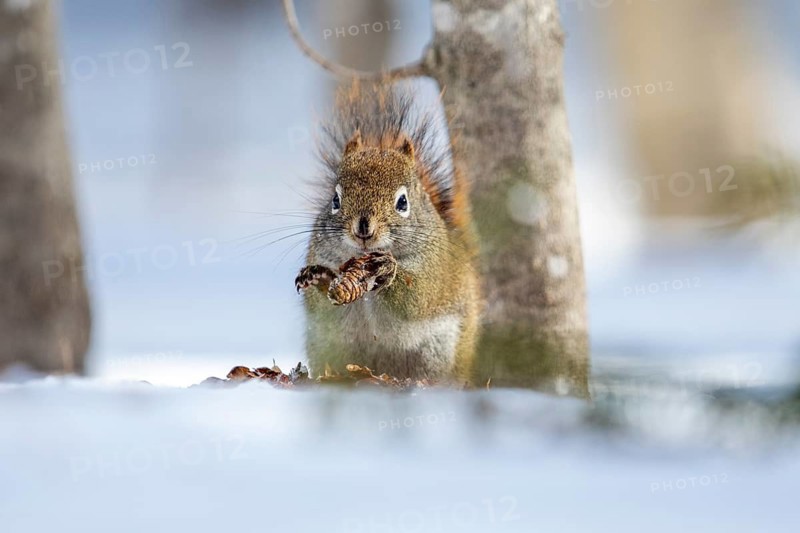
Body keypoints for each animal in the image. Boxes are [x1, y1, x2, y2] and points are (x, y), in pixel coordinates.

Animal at [295, 81, 480, 382]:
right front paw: (318, 275)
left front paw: (387, 271)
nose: (363, 228)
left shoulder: (434, 268)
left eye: (402, 202)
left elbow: (416, 298)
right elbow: (322, 305)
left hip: (440, 350)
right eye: (335, 200)